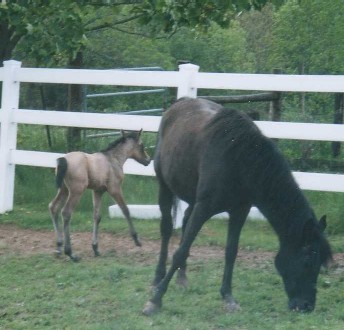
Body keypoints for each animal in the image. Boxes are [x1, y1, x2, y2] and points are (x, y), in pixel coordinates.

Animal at [48, 130, 150, 262]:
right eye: (141, 145)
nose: (148, 160)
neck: (113, 160)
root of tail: (63, 158)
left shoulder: (98, 191)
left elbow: (97, 216)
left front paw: (95, 248)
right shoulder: (115, 189)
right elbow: (125, 210)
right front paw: (137, 240)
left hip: (64, 190)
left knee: (53, 207)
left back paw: (59, 248)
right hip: (76, 191)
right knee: (66, 212)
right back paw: (70, 253)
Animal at [142, 97, 330, 314]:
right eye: (308, 261)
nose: (307, 305)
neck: (240, 161)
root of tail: (178, 103)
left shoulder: (240, 211)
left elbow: (231, 251)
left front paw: (228, 297)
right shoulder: (204, 207)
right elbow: (180, 252)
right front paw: (155, 300)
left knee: (185, 220)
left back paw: (182, 278)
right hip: (165, 187)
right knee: (166, 228)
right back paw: (157, 279)